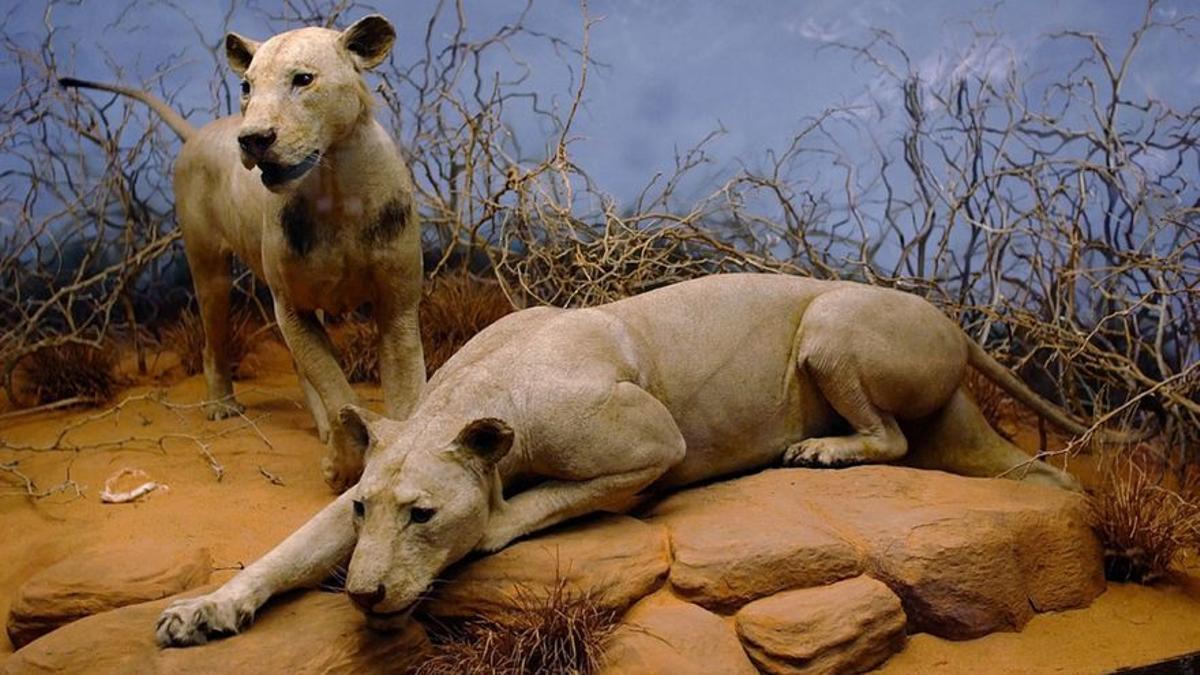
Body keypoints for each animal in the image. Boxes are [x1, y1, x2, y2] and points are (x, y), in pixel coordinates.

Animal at [63, 14, 427, 487]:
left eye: (303, 79)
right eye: (247, 86)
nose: (253, 139)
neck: (335, 191)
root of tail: (198, 133)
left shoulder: (397, 306)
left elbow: (404, 394)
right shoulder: (289, 306)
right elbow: (336, 389)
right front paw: (342, 463)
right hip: (210, 270)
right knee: (214, 341)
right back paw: (222, 405)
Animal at [154, 273, 1128, 648]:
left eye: (425, 515)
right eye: (366, 511)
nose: (362, 594)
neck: (473, 396)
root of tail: (957, 325)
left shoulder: (654, 440)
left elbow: (535, 503)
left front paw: (492, 520)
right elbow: (284, 551)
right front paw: (204, 610)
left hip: (830, 323)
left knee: (888, 437)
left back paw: (819, 446)